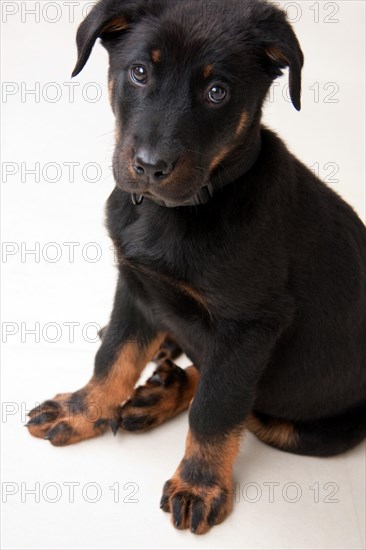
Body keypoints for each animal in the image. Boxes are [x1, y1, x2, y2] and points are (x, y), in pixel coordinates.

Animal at [26, 0, 366, 536]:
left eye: (216, 91)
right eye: (139, 72)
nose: (150, 166)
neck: (180, 211)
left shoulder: (249, 328)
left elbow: (216, 407)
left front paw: (199, 485)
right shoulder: (136, 285)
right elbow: (113, 355)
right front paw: (82, 410)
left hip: (304, 425)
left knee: (240, 400)